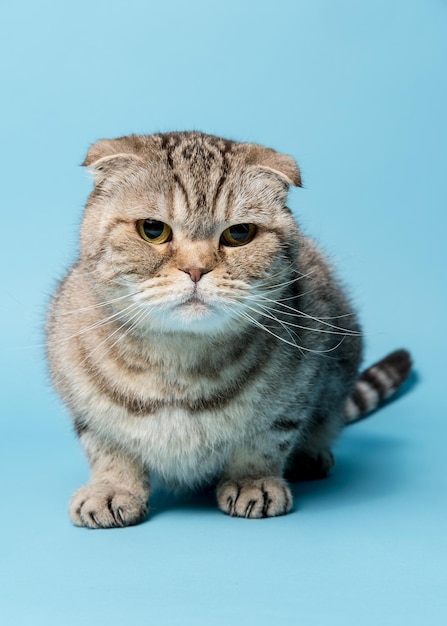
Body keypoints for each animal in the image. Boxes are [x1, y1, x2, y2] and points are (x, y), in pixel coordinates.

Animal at [46, 132, 412, 528]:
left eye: (239, 233)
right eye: (153, 230)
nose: (196, 269)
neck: (177, 363)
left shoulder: (293, 396)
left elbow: (263, 444)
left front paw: (253, 482)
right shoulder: (86, 410)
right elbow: (109, 450)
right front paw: (112, 488)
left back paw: (311, 455)